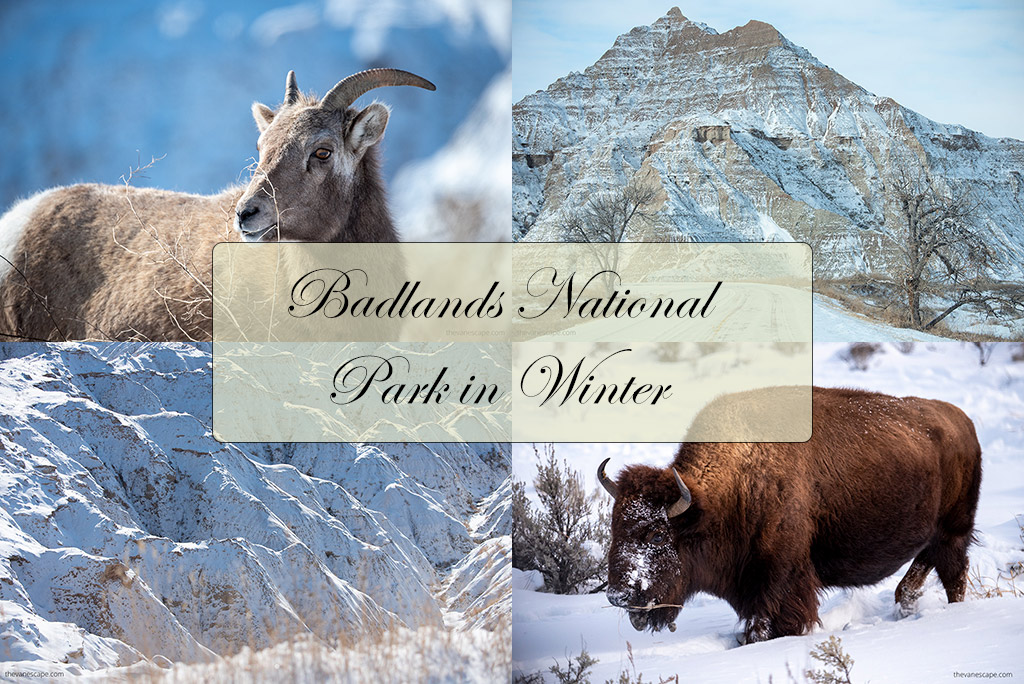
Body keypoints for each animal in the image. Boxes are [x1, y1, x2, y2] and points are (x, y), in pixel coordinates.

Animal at [598, 387, 983, 643]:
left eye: (657, 534)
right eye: (615, 527)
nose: (618, 595)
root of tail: (962, 421)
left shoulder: (781, 577)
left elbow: (770, 625)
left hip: (954, 531)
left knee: (954, 574)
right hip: (936, 534)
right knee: (922, 568)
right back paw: (905, 603)